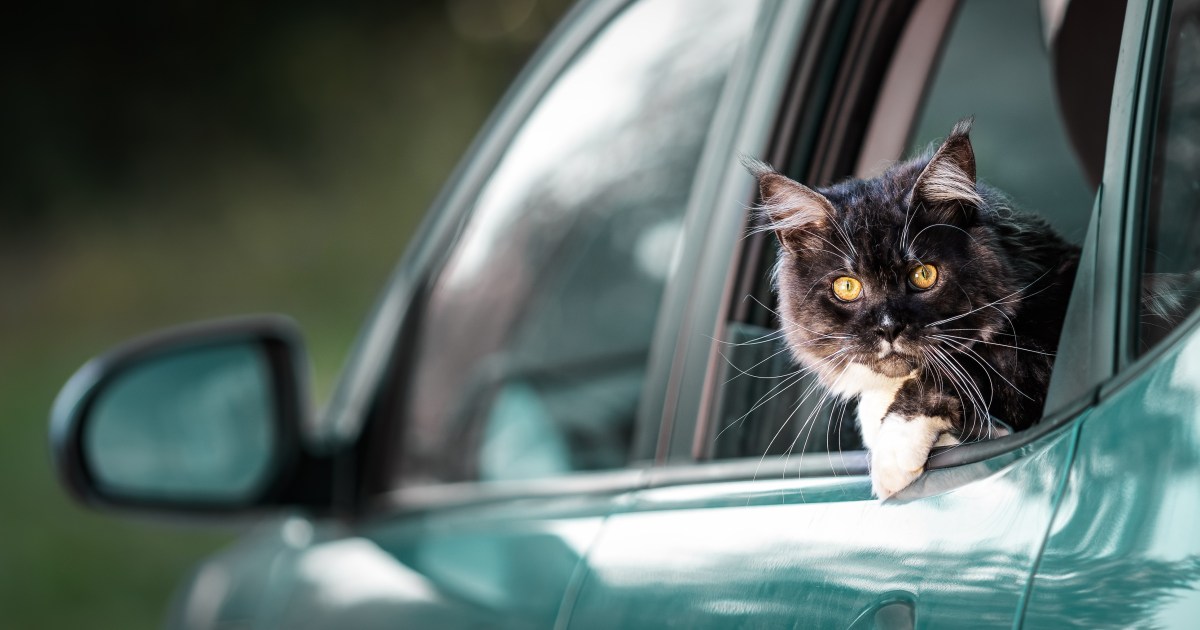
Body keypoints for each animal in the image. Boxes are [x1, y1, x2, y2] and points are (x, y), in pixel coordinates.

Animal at [744, 119, 1084, 496]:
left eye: (923, 275)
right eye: (847, 287)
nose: (888, 327)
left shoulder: (1035, 355)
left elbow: (955, 369)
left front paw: (892, 454)